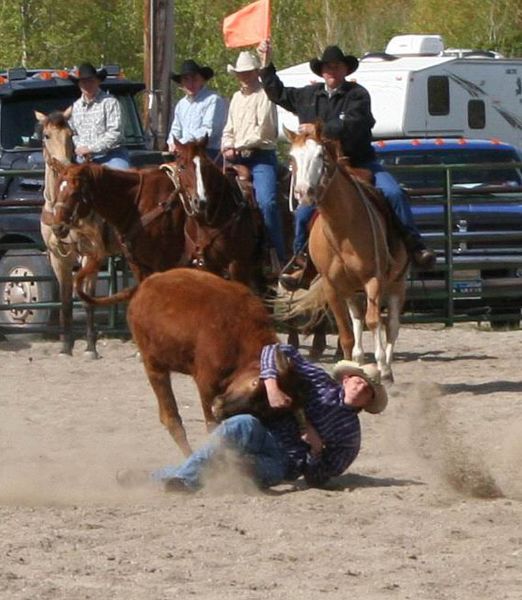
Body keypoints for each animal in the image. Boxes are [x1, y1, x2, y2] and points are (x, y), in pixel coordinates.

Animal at [36, 110, 118, 356]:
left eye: (71, 134)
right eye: (46, 135)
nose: (63, 165)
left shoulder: (90, 254)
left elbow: (88, 298)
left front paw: (91, 347)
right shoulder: (58, 257)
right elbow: (65, 301)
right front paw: (65, 346)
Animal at [282, 125, 408, 380]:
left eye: (320, 155)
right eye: (292, 157)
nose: (303, 192)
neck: (342, 227)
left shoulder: (373, 279)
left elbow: (374, 322)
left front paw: (381, 367)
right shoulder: (332, 287)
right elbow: (347, 334)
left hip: (396, 285)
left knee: (391, 326)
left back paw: (387, 369)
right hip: (350, 289)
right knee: (357, 319)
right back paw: (358, 360)